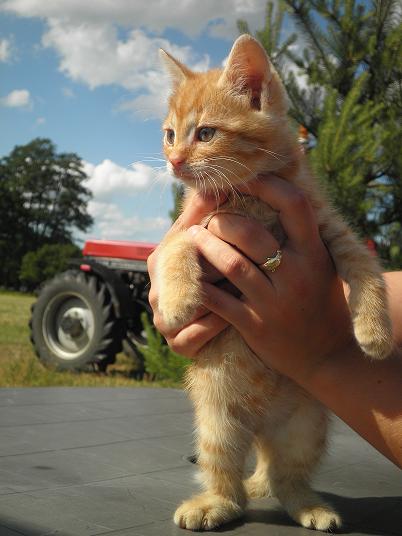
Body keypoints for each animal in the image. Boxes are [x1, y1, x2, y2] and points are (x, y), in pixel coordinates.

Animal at [155, 34, 392, 532]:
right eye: (169, 135)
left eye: (204, 134)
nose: (174, 161)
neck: (248, 196)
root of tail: (261, 430)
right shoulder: (194, 228)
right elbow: (175, 247)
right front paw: (180, 301)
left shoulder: (332, 230)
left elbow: (367, 270)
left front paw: (376, 334)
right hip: (217, 422)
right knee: (229, 477)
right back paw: (215, 503)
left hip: (305, 427)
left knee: (287, 478)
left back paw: (310, 506)